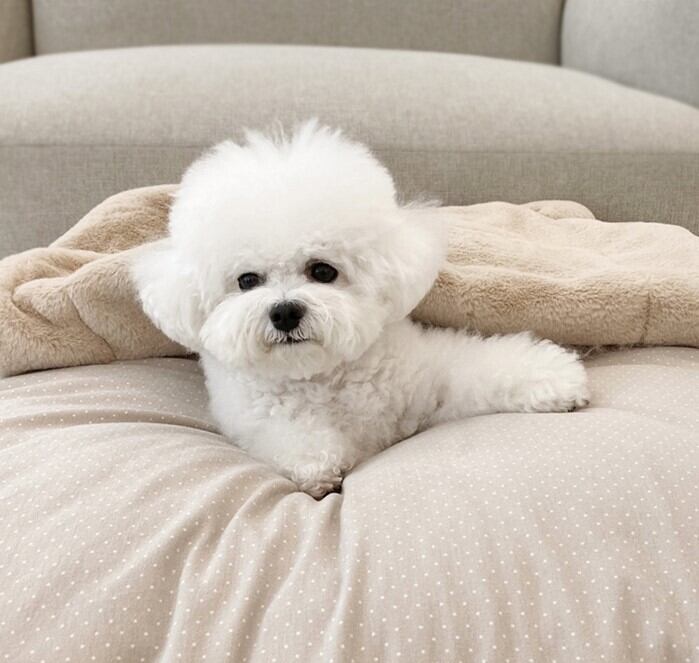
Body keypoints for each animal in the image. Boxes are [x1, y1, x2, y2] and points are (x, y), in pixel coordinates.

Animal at [132, 120, 590, 498]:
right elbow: (289, 436)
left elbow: (482, 369)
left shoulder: (429, 383)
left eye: (322, 270)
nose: (284, 312)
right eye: (247, 281)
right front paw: (318, 465)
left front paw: (555, 379)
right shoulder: (252, 417)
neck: (324, 378)